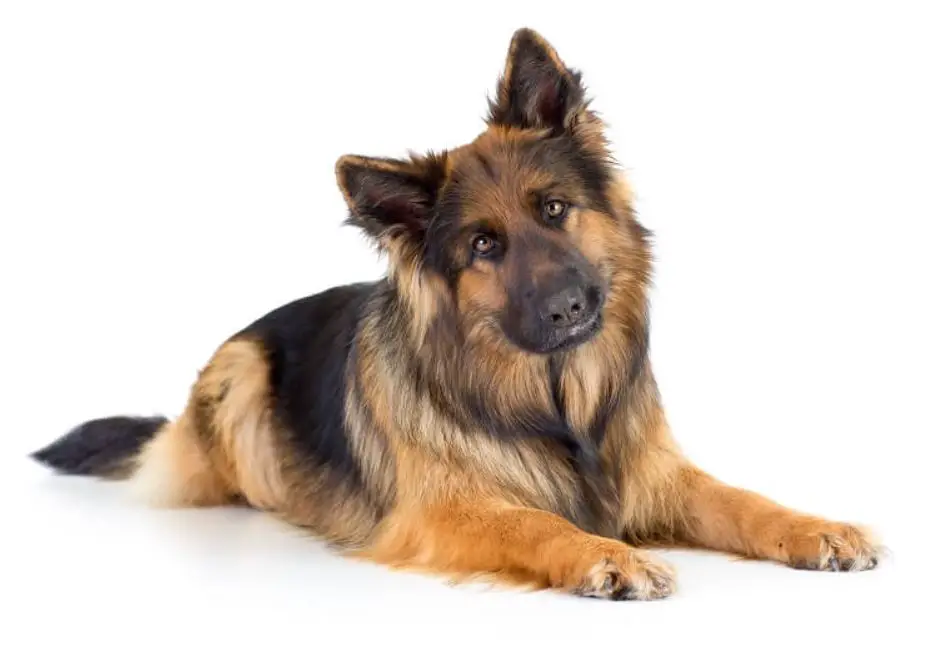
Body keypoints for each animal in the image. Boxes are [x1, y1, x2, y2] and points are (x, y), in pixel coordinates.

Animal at [31, 28, 884, 600]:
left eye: (554, 208)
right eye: (482, 246)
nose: (570, 307)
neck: (556, 401)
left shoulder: (656, 475)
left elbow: (741, 499)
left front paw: (818, 528)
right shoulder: (447, 511)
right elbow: (539, 523)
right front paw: (606, 554)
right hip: (238, 375)